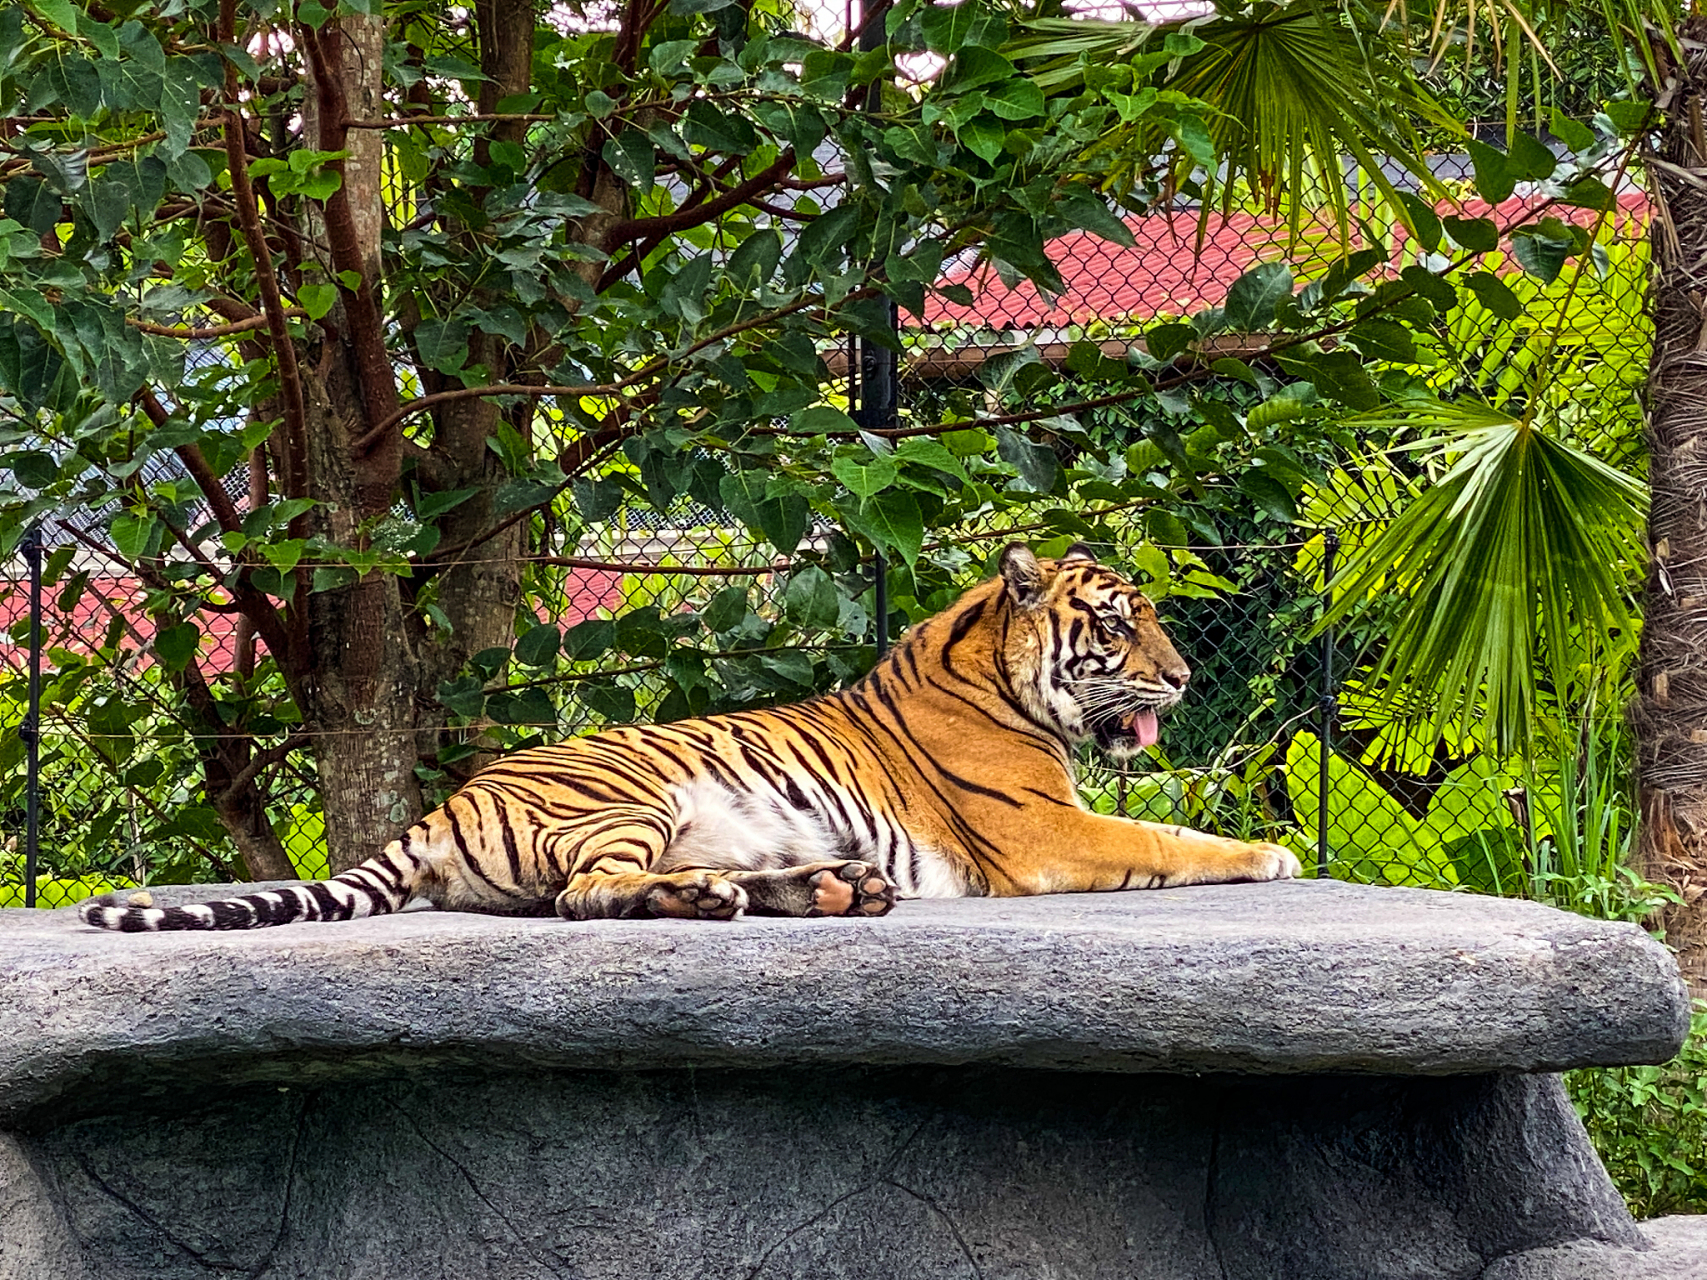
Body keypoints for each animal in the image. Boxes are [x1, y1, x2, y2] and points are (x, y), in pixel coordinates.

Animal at [80, 542, 1297, 935]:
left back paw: (831, 888)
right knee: (584, 896)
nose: (1186, 674)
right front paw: (1275, 853)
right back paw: (726, 898)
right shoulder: (1045, 830)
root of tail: (438, 809)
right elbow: (1172, 839)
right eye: (1118, 622)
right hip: (630, 797)